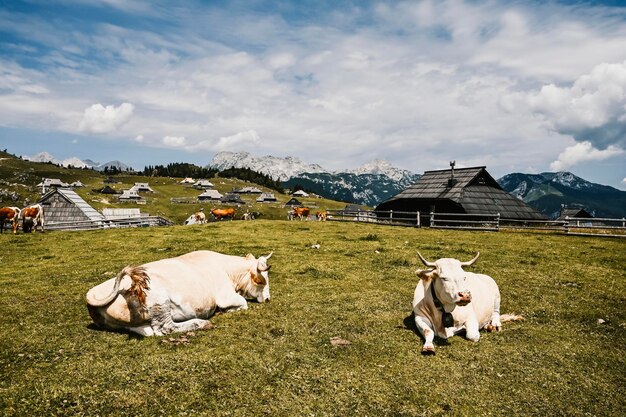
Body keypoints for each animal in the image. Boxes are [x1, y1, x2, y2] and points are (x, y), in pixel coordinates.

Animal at [86, 250, 272, 334]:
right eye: (260, 281)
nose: (268, 299)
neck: (227, 270)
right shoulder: (225, 296)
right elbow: (243, 303)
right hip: (159, 301)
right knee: (166, 328)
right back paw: (202, 323)